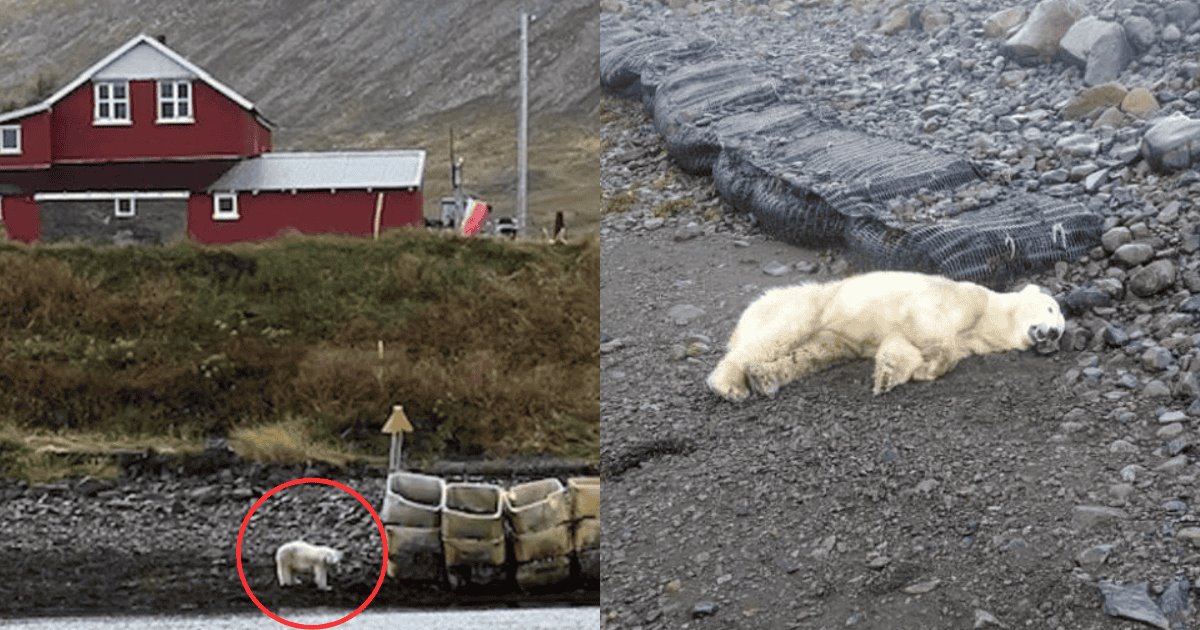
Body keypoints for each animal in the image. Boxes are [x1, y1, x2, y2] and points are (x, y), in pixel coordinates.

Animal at [705, 268, 1065, 398]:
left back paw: (764, 378)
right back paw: (729, 385)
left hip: (831, 335)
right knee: (778, 335)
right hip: (810, 305)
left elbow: (900, 344)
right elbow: (929, 328)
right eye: (1051, 309)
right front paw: (929, 364)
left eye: (1061, 330)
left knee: (814, 353)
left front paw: (891, 375)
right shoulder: (959, 300)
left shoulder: (969, 337)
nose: (1052, 334)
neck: (989, 317)